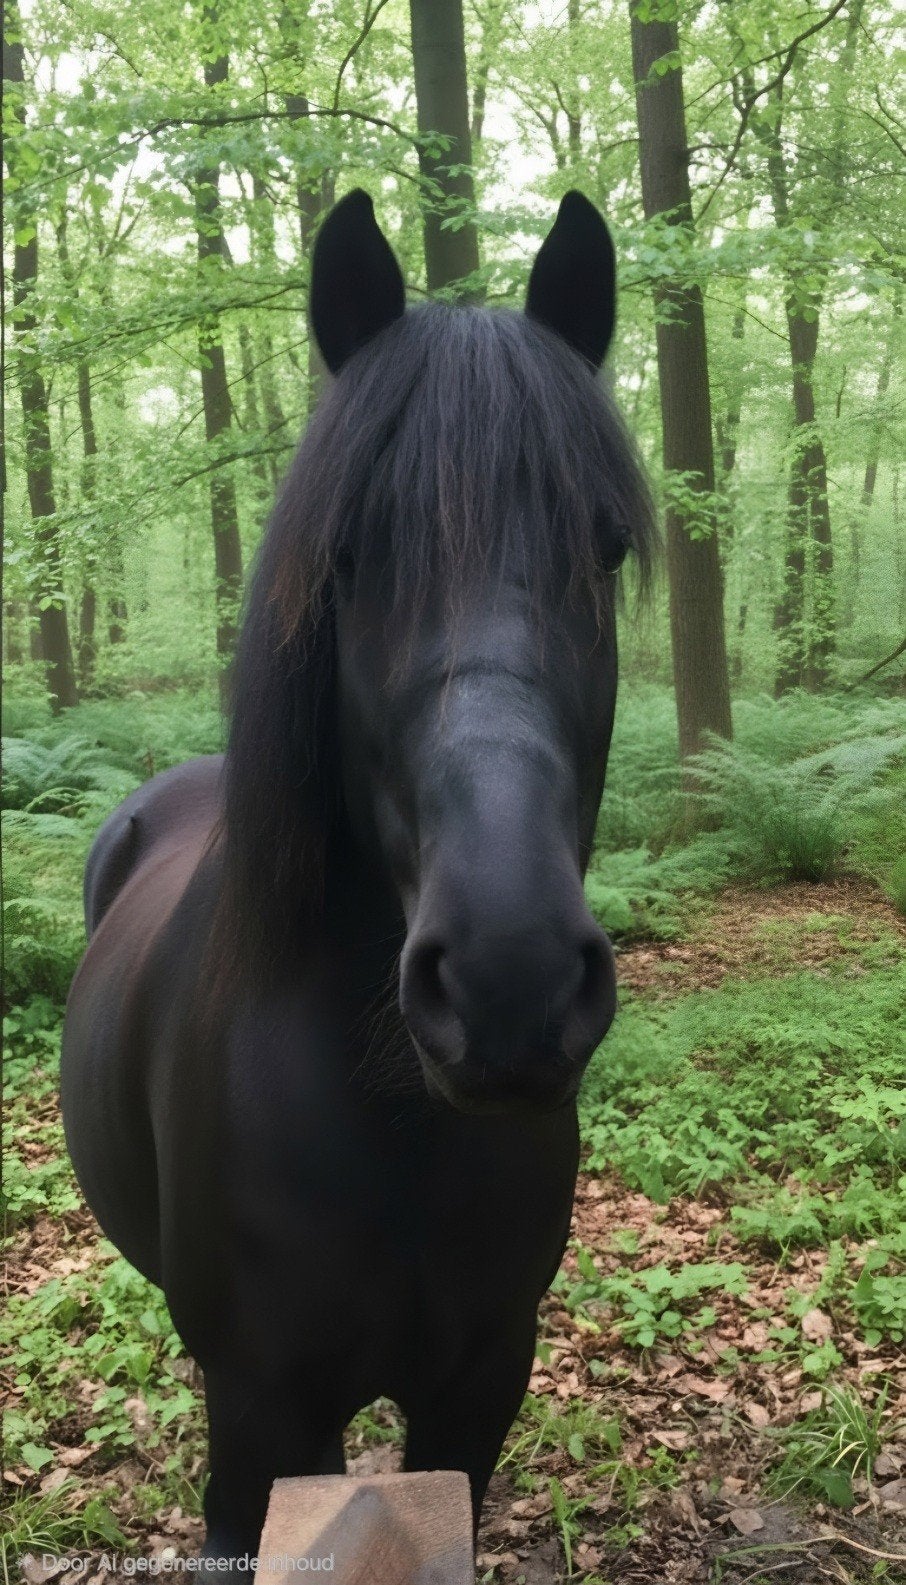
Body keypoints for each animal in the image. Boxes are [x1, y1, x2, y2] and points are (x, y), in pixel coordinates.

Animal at [61, 188, 656, 1570]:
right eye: (347, 554)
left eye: (605, 548)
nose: (507, 981)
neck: (387, 1121)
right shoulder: (263, 1416)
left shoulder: (478, 1390)